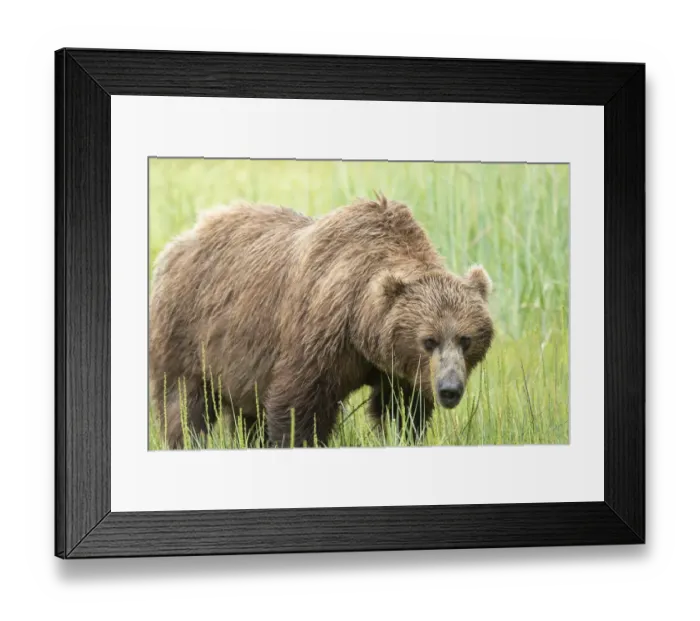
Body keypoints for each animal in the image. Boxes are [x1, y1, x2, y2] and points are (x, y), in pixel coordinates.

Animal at [149, 194, 495, 449]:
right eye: (429, 340)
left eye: (465, 339)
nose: (449, 389)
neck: (361, 327)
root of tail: (177, 242)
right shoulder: (320, 335)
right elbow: (298, 405)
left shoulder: (397, 367)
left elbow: (401, 410)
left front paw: (404, 435)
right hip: (187, 334)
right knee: (183, 403)